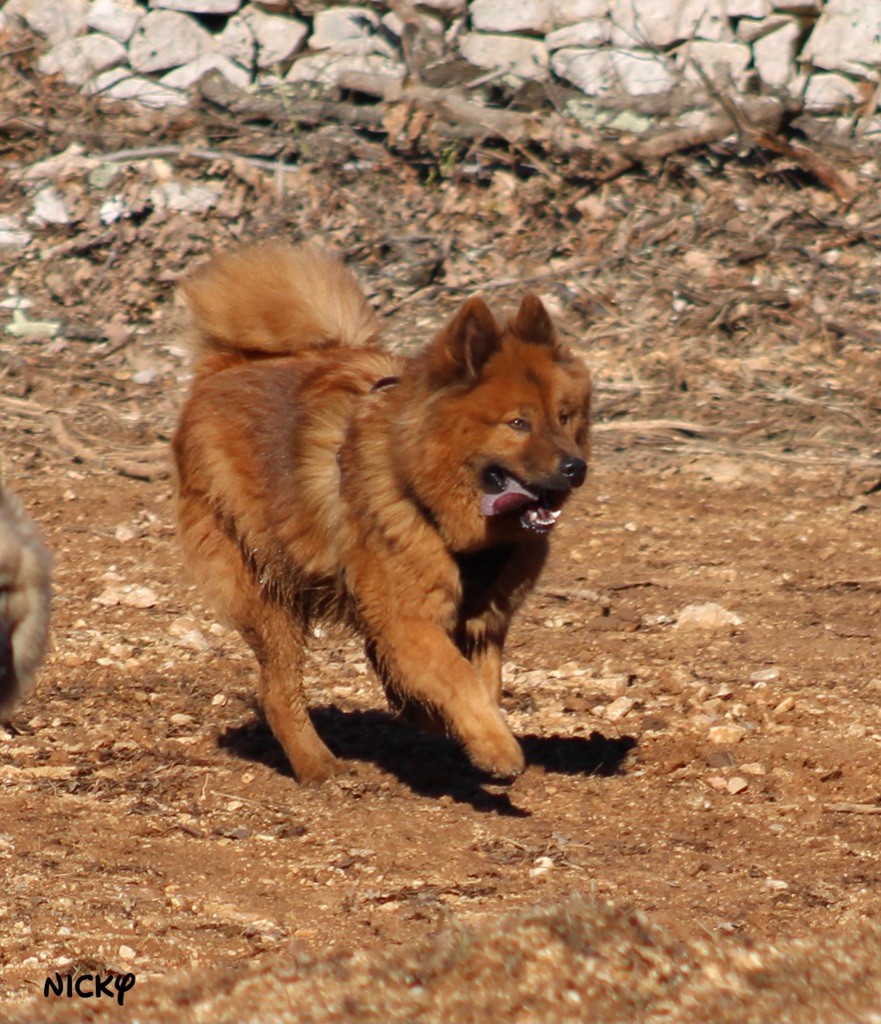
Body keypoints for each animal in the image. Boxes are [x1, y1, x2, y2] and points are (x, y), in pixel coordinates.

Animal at [174, 245, 590, 782]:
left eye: (564, 417)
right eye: (518, 423)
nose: (576, 468)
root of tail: (222, 369)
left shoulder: (484, 620)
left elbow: (483, 682)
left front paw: (462, 728)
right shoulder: (410, 617)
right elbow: (459, 678)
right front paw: (497, 749)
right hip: (268, 592)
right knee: (279, 690)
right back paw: (317, 765)